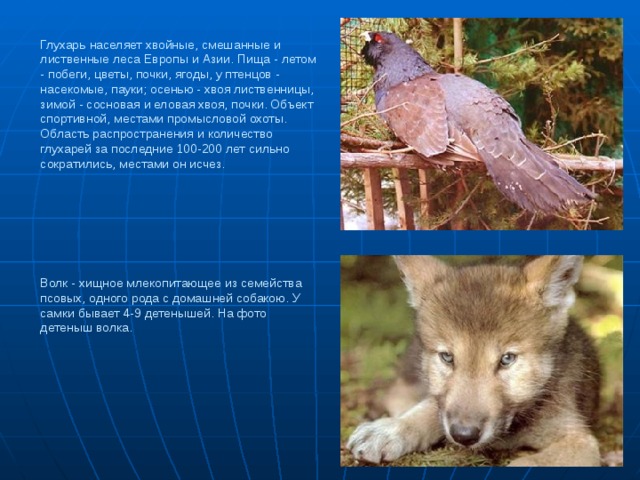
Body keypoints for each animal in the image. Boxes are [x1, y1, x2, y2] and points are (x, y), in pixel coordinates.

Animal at [347, 256, 601, 466]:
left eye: (507, 359)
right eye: (447, 357)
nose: (464, 435)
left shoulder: (580, 441)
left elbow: (526, 463)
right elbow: (432, 408)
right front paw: (391, 430)